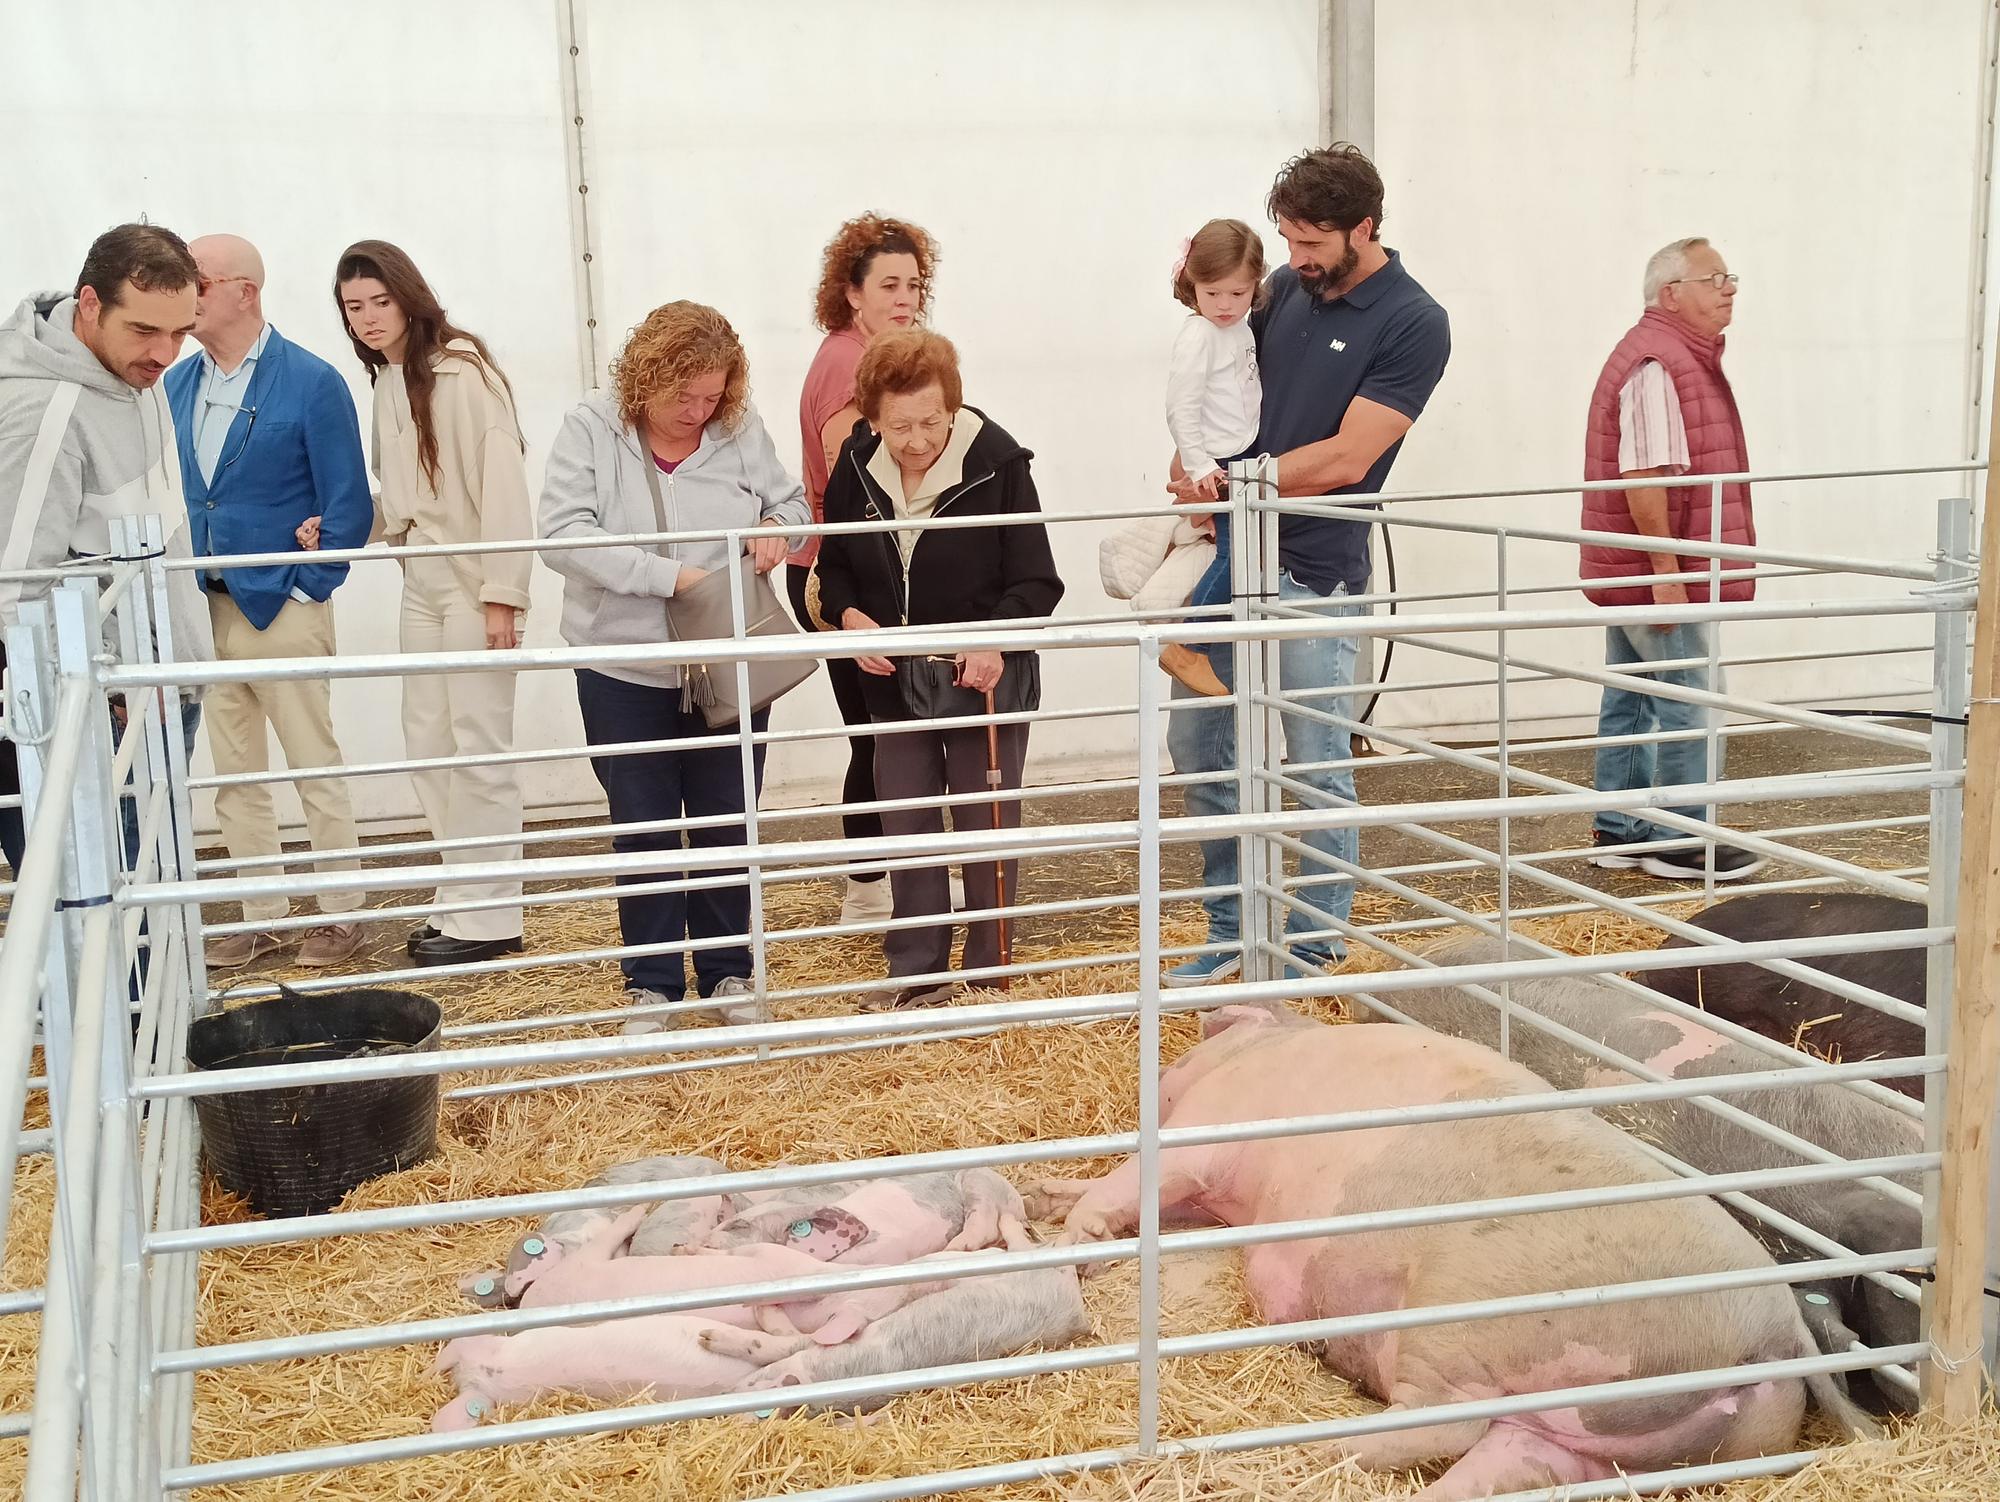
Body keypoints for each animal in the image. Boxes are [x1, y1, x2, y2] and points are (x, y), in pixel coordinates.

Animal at [1032, 1012, 1872, 1502]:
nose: (1161, 1073)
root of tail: (1779, 1331)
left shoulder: (1208, 1138)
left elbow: (1127, 1187)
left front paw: (1067, 1243)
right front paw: (1047, 1196)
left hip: (1471, 1333)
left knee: (1435, 1430)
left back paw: (1299, 1454)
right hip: (1599, 1438)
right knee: (1504, 1468)